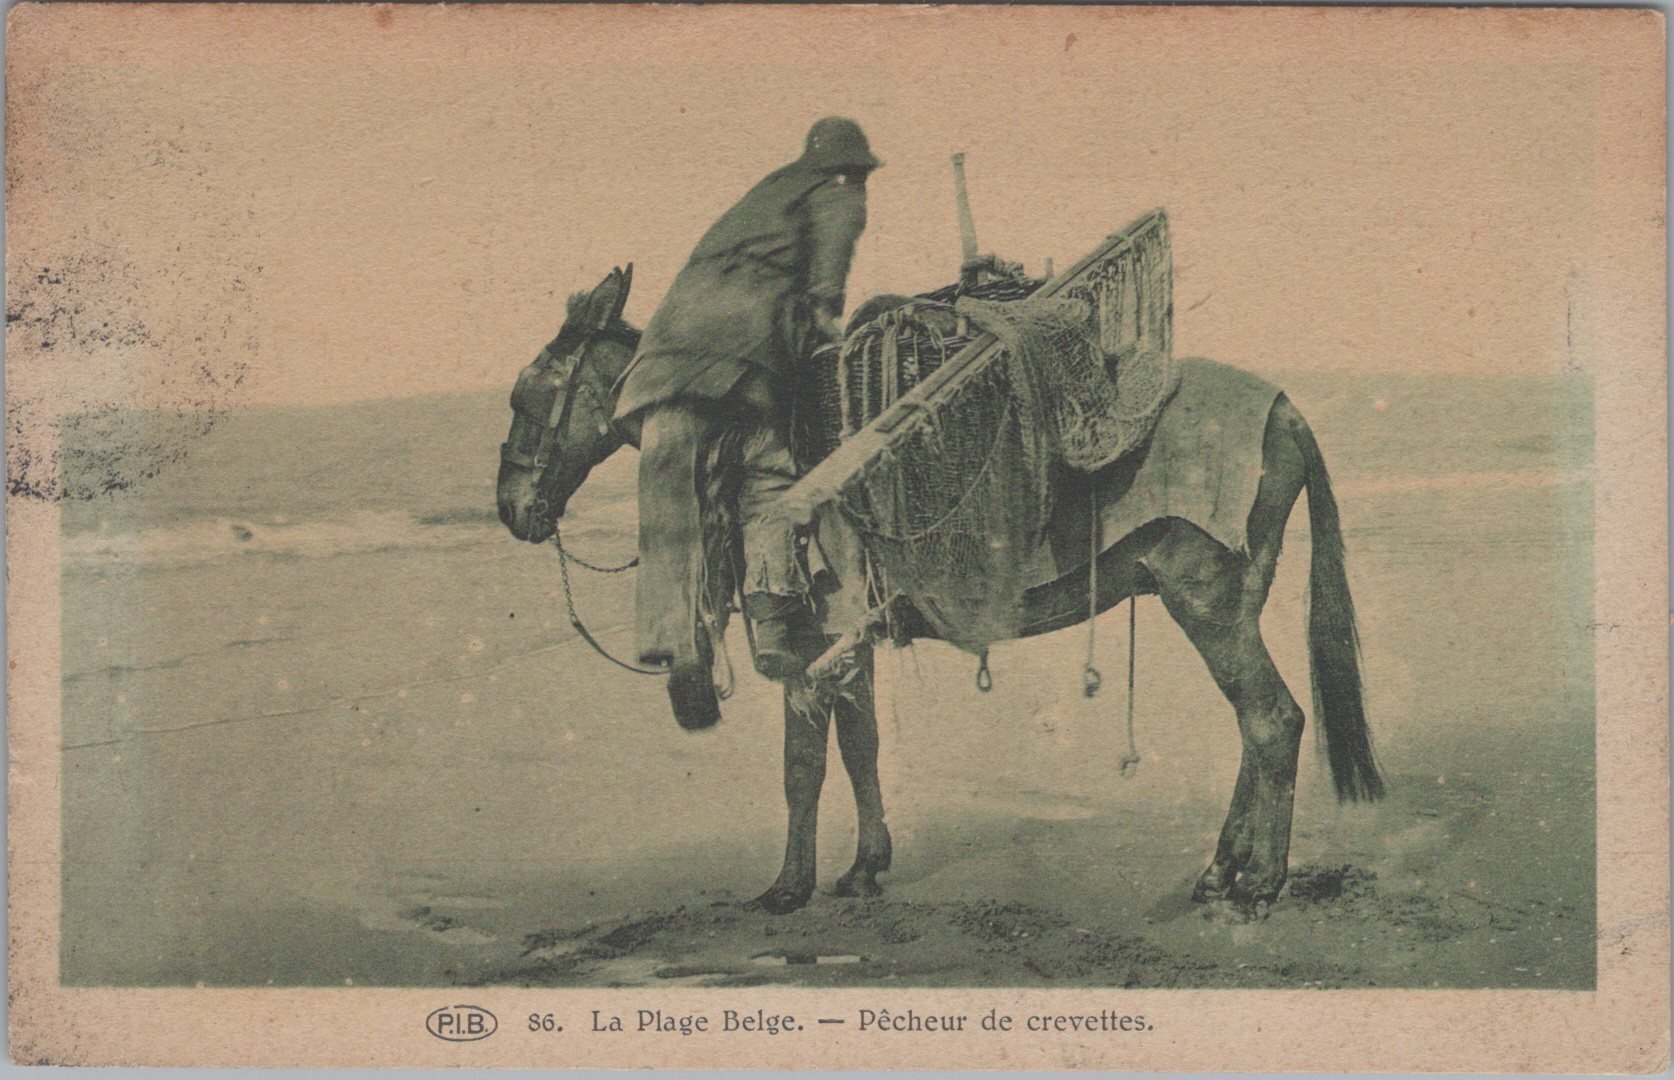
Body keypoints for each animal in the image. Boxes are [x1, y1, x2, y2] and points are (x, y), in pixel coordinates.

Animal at [495, 264, 1386, 910]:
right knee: (1254, 728)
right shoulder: (847, 640)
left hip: (1208, 599)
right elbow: (860, 748)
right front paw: (864, 868)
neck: (753, 449)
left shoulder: (812, 641)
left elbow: (801, 766)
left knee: (1272, 720)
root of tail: (1284, 409)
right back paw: (1221, 871)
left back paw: (1257, 883)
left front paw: (788, 889)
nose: (510, 507)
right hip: (1224, 602)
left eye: (528, 395)